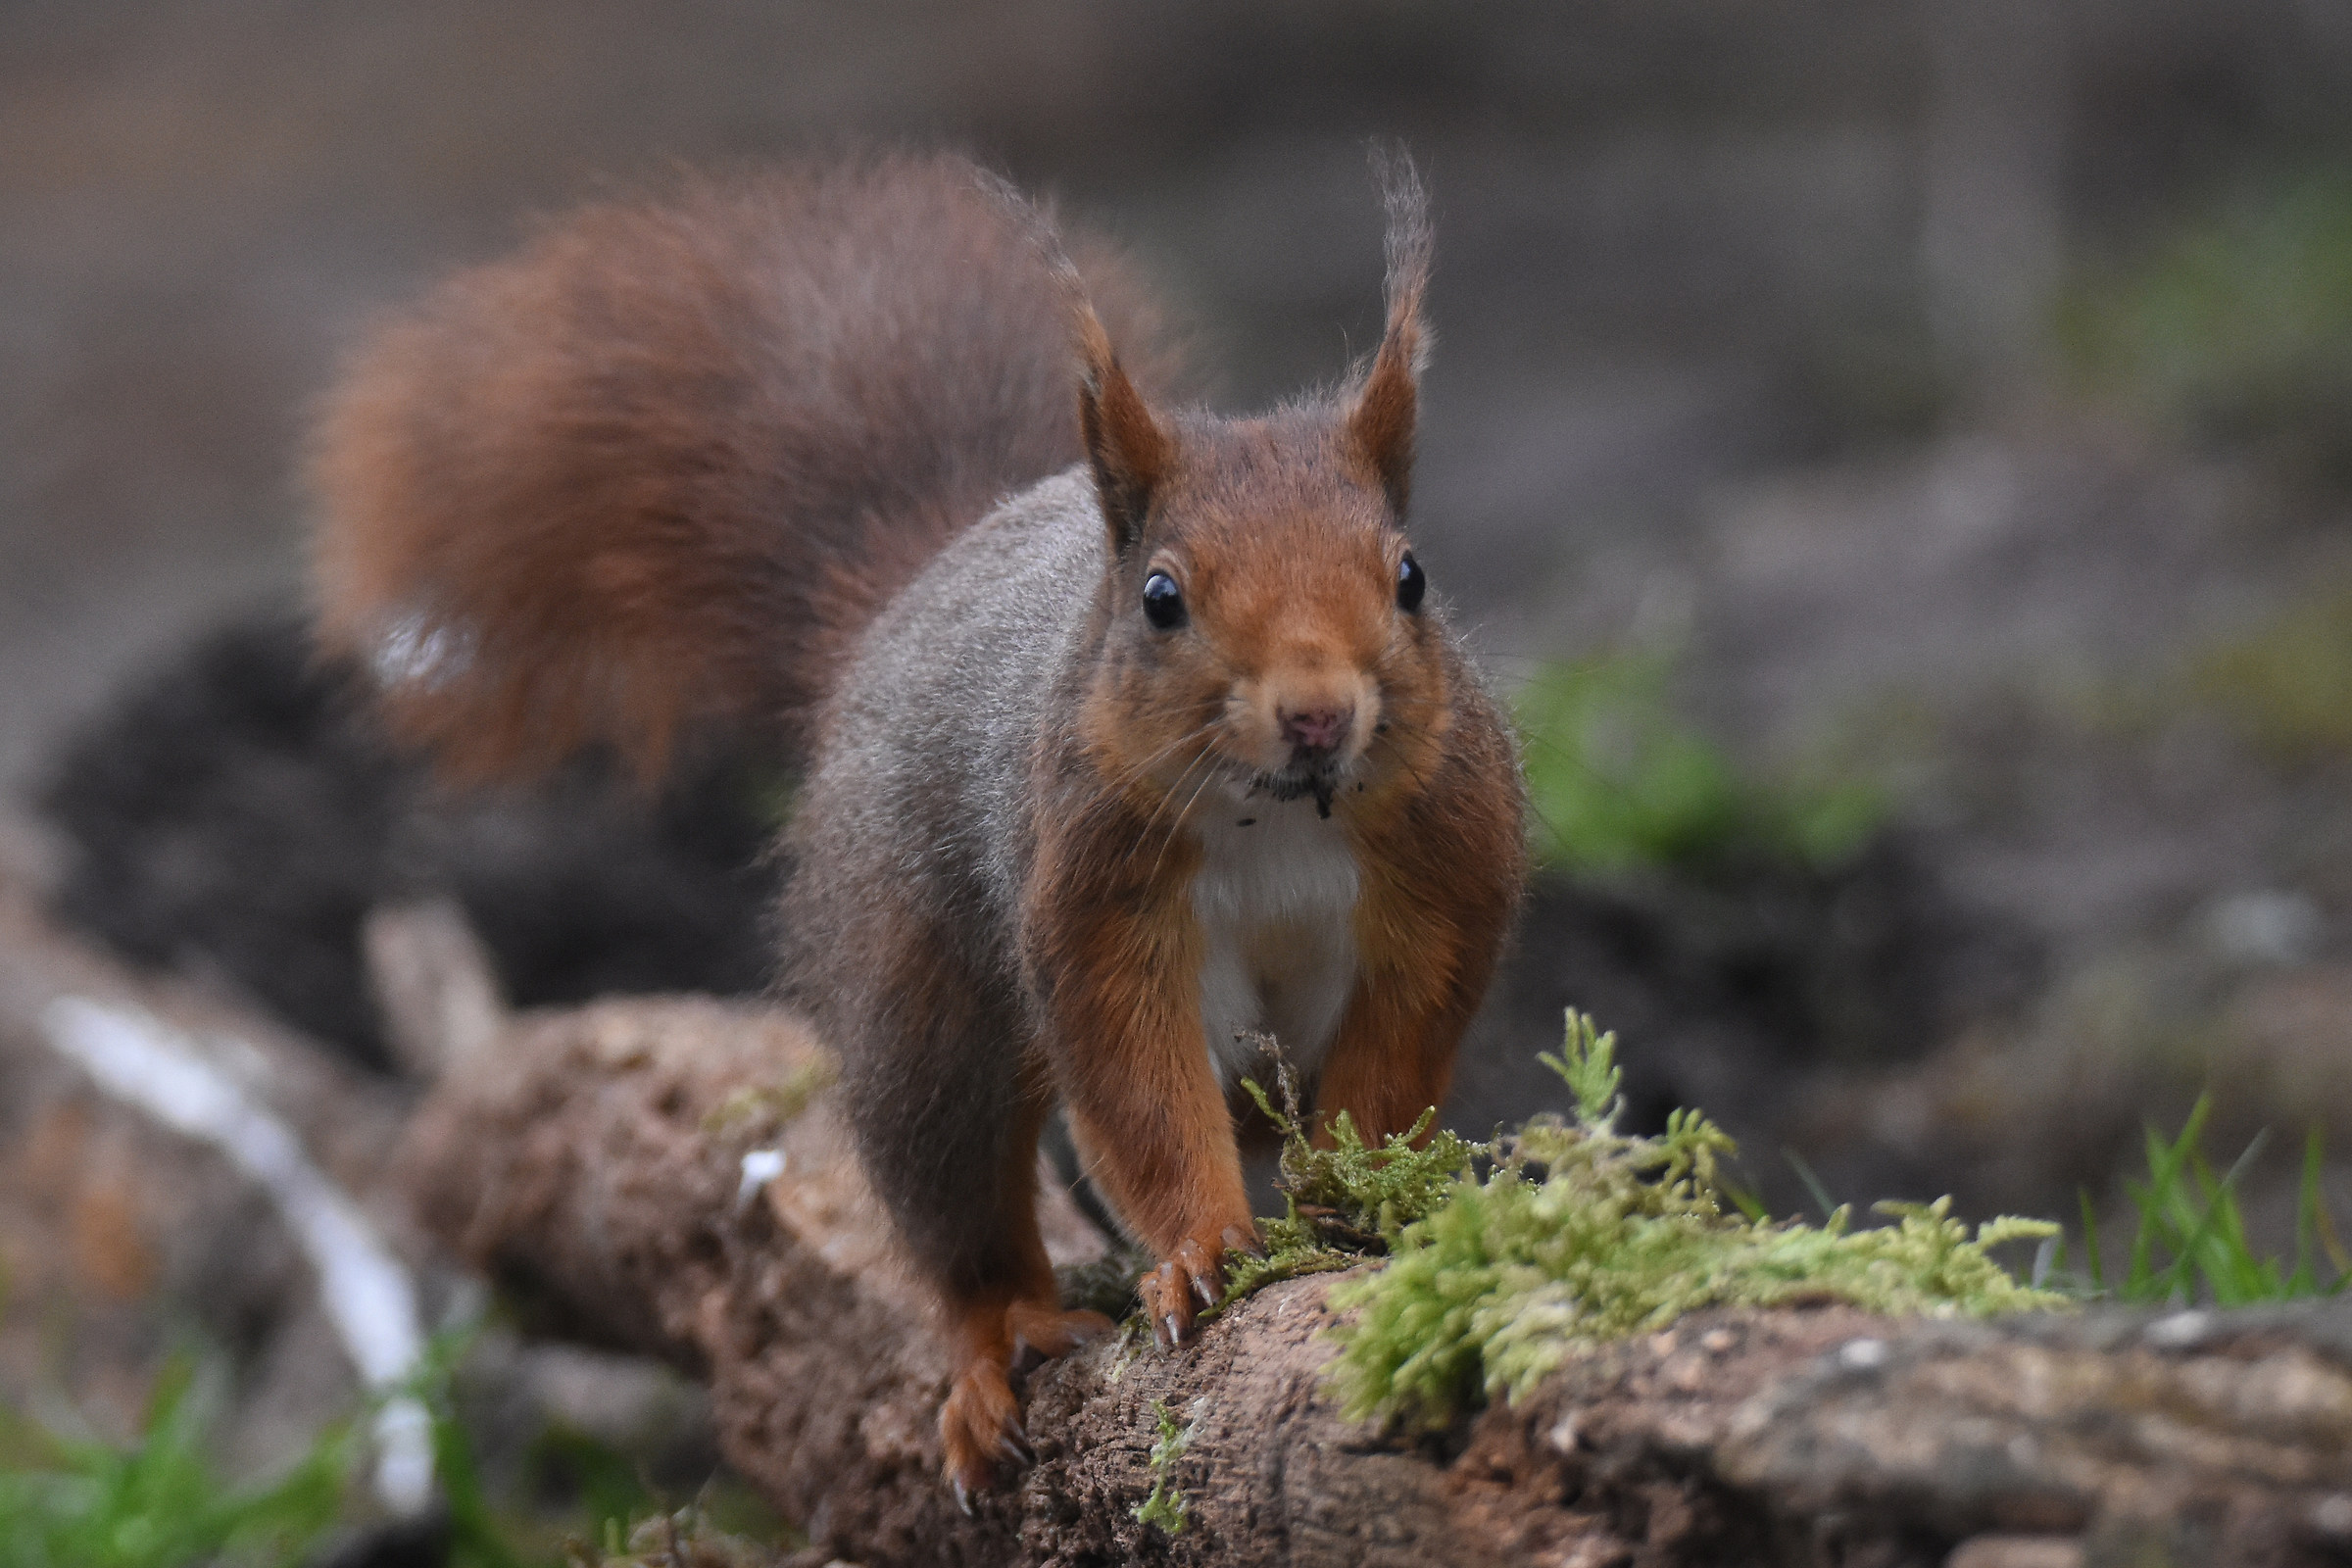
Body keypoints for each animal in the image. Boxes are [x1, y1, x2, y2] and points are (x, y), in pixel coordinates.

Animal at [307, 149, 1526, 1501]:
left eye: (1411, 576)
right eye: (1161, 597)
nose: (1318, 713)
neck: (1278, 816)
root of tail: (921, 586)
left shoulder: (1445, 870)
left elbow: (1394, 1056)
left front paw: (1358, 1209)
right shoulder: (1092, 904)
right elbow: (1137, 1090)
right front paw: (1203, 1248)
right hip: (917, 1009)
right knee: (956, 1205)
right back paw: (1005, 1342)